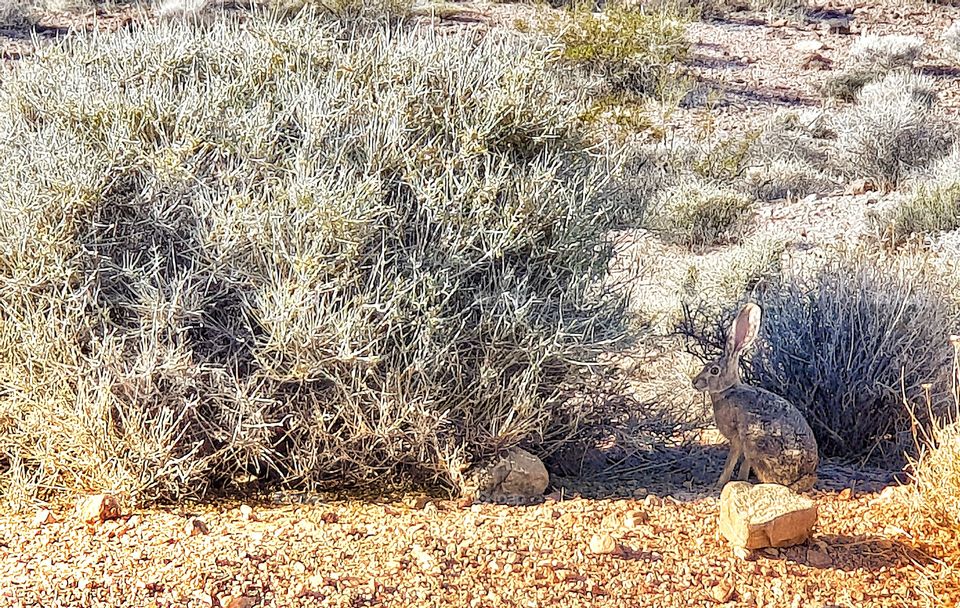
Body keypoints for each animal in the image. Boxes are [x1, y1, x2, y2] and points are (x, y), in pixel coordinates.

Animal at [692, 303, 819, 492]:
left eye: (714, 370)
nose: (694, 382)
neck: (729, 390)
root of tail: (806, 477)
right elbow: (744, 463)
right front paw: (742, 479)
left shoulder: (738, 438)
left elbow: (731, 461)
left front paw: (720, 484)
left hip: (758, 443)